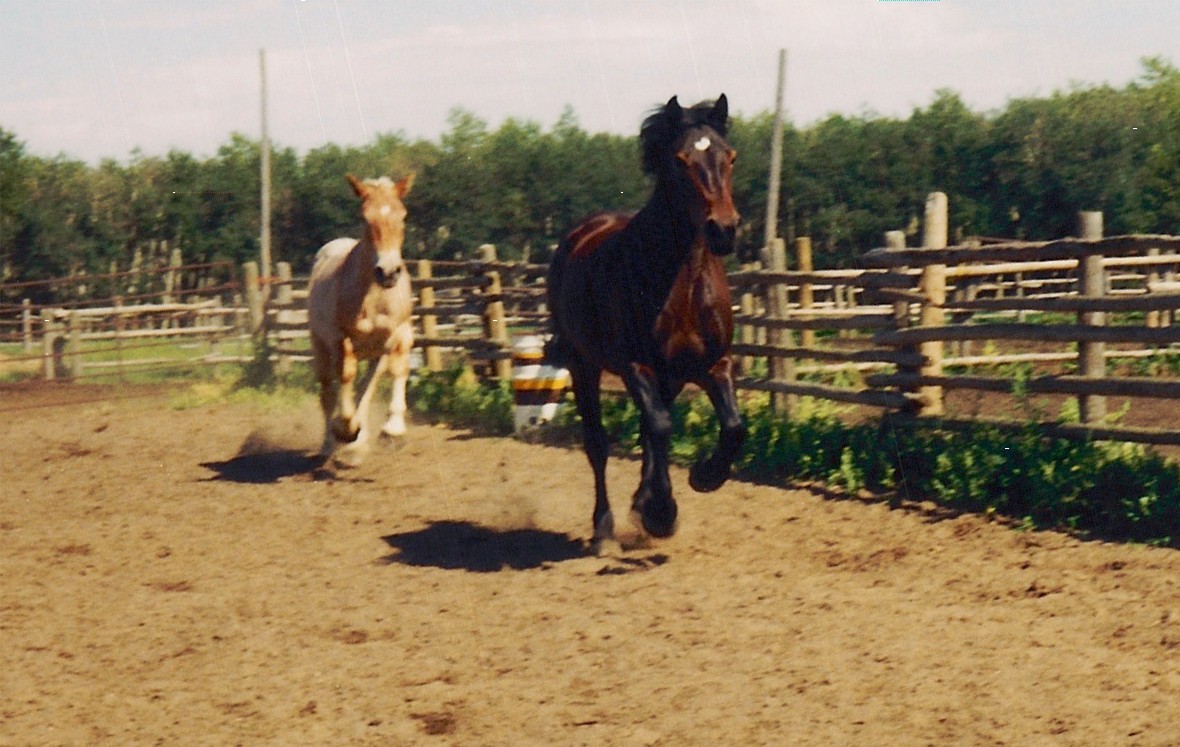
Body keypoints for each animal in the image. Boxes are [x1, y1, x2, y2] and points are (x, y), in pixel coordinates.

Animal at [308, 173, 416, 462]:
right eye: (366, 218)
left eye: (403, 215)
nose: (388, 272)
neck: (374, 298)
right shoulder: (339, 339)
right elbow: (345, 376)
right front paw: (344, 429)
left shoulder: (400, 332)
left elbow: (398, 369)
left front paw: (393, 428)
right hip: (320, 347)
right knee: (328, 391)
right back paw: (330, 442)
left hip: (375, 353)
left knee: (367, 386)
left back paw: (358, 439)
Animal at [545, 94, 745, 545]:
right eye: (680, 160)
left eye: (729, 157)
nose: (723, 230)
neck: (679, 280)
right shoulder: (637, 366)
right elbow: (659, 428)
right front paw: (660, 511)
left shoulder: (712, 365)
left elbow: (732, 427)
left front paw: (703, 476)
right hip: (584, 366)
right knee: (600, 444)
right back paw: (605, 526)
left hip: (668, 378)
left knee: (649, 433)